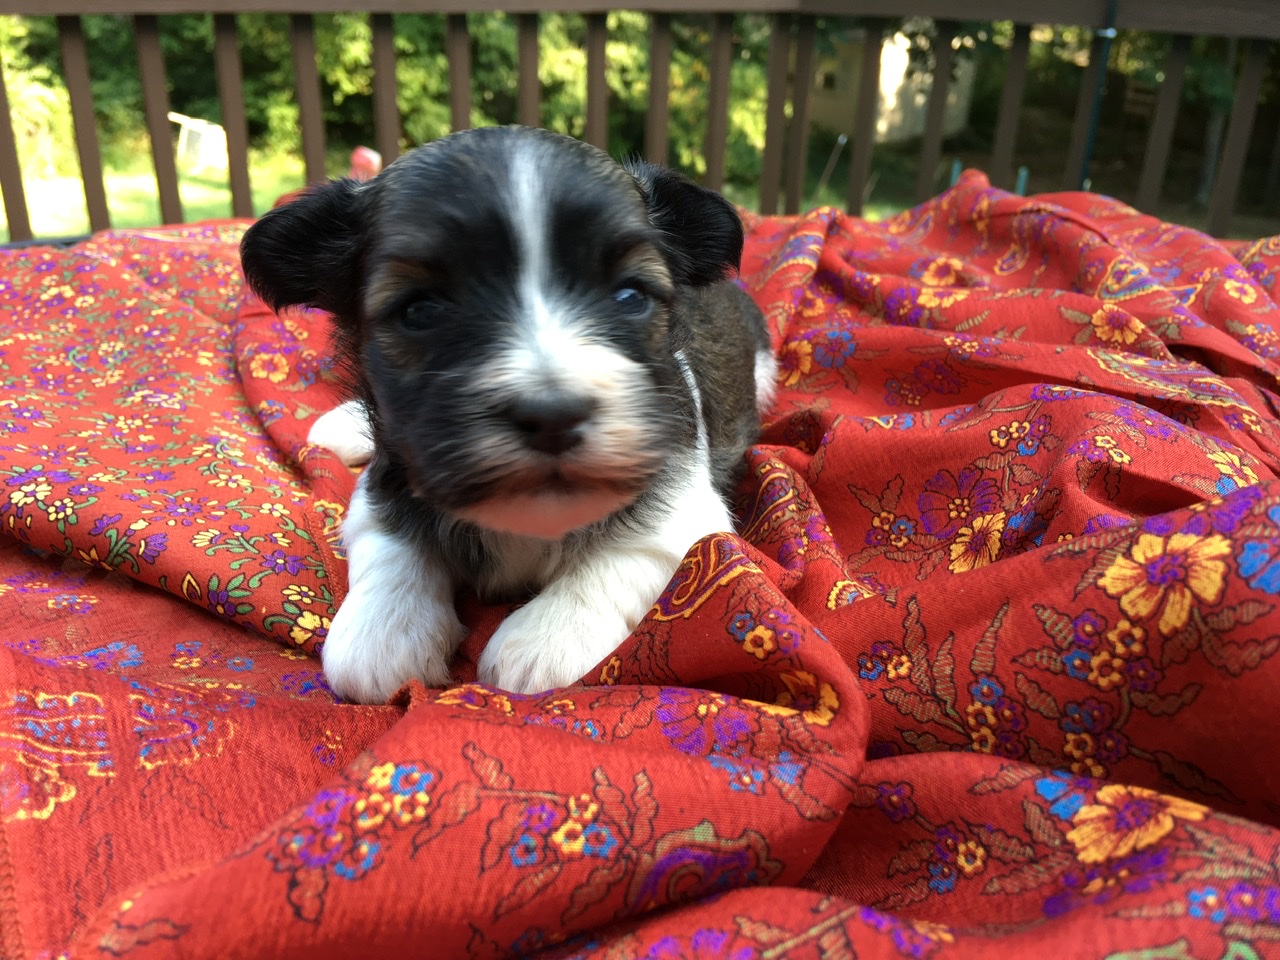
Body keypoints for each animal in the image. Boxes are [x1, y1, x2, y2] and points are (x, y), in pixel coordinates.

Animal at [240, 125, 776, 701]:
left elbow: (623, 554)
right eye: (418, 311)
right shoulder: (385, 480)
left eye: (630, 296)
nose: (553, 415)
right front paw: (384, 628)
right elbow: (390, 544)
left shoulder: (685, 510)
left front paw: (547, 637)